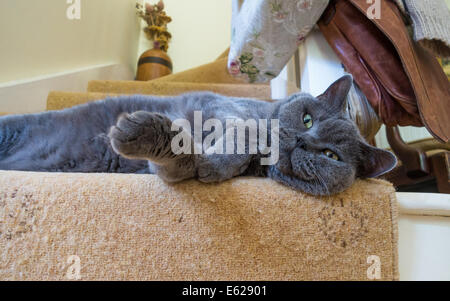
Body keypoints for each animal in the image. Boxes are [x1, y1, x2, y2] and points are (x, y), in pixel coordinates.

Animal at [0, 75, 394, 195]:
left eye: (330, 156)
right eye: (308, 119)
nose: (303, 141)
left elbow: (180, 166)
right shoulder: (223, 107)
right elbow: (244, 131)